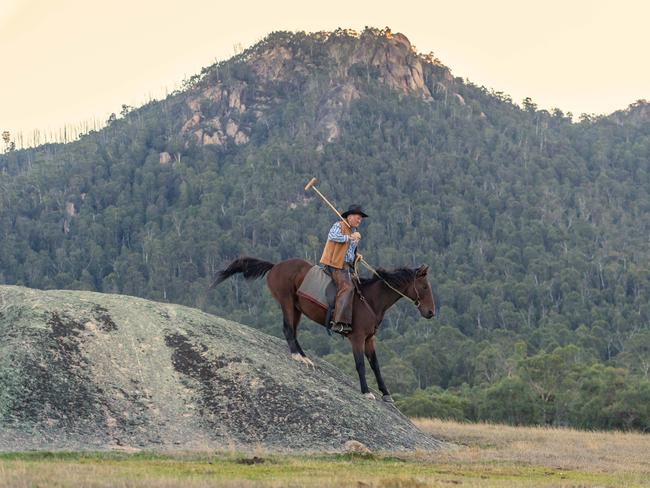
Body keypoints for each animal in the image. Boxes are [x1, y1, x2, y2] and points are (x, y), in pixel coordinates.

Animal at [211, 258, 436, 402]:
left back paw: (303, 356)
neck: (370, 300)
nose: (431, 312)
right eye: (425, 287)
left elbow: (375, 365)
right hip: (287, 302)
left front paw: (386, 393)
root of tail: (275, 266)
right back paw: (297, 356)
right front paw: (366, 392)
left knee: (292, 331)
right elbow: (361, 365)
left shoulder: (369, 339)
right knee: (287, 329)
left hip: (296, 308)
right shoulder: (357, 338)